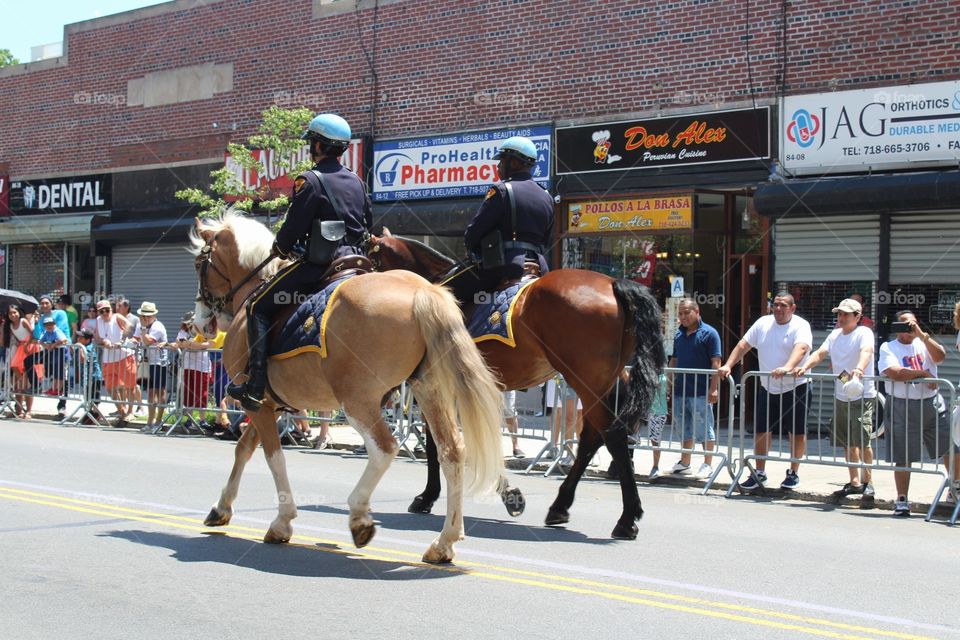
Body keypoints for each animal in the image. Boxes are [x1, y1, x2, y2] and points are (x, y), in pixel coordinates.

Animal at [186, 212, 502, 564]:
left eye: (200, 263)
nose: (199, 324)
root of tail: (423, 290)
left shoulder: (259, 404)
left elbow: (273, 457)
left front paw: (282, 522)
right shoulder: (269, 404)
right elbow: (243, 449)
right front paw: (221, 508)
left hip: (358, 401)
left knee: (385, 448)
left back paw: (360, 517)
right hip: (428, 391)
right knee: (451, 452)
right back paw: (444, 542)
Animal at [364, 231, 664, 540]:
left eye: (369, 260)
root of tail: (613, 284)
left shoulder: (437, 386)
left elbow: (440, 443)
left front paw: (428, 496)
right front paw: (505, 492)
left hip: (586, 379)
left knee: (610, 435)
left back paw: (626, 518)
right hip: (608, 380)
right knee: (595, 437)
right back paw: (561, 506)